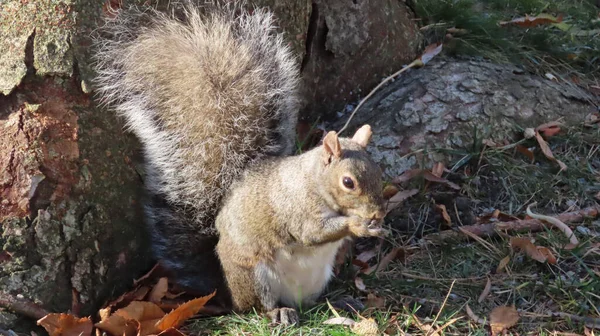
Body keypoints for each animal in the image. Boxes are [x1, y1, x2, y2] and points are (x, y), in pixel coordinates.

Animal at [94, 0, 384, 326]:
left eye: (379, 172)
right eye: (348, 182)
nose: (377, 212)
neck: (314, 181)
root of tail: (226, 290)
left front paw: (375, 226)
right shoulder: (296, 208)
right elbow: (312, 233)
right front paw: (359, 225)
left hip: (316, 278)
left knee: (312, 304)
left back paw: (340, 301)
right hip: (255, 276)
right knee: (258, 307)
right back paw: (279, 311)